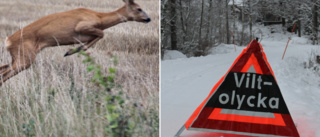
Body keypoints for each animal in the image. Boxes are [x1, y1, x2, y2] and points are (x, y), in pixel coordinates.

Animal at [0, 0, 151, 86]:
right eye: (139, 8)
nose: (148, 19)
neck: (100, 18)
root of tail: (8, 41)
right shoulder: (81, 26)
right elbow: (102, 34)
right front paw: (71, 51)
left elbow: (98, 37)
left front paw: (73, 50)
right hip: (25, 57)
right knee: (4, 74)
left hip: (19, 57)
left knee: (3, 68)